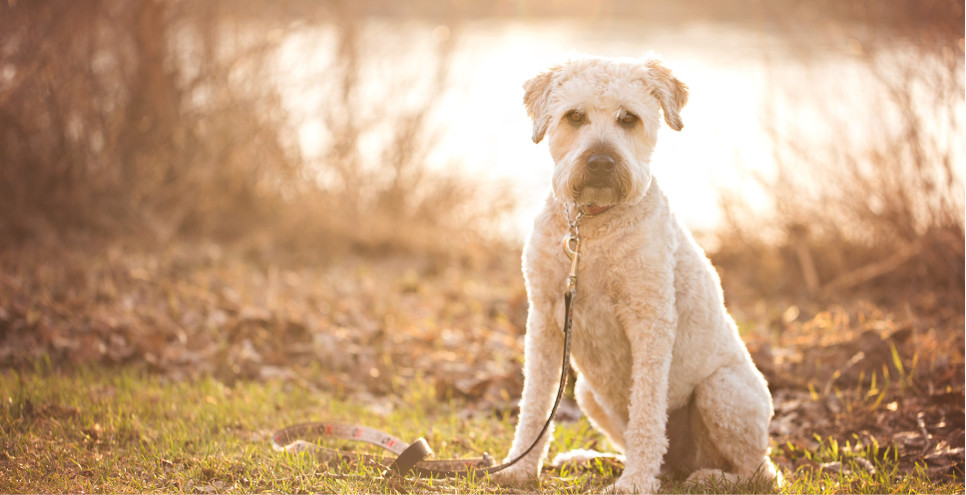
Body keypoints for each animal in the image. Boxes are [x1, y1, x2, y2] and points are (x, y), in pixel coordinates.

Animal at [496, 54, 784, 492]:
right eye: (574, 116)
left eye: (628, 118)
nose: (600, 163)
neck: (591, 224)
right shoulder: (545, 319)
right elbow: (535, 405)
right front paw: (520, 468)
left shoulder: (649, 323)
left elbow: (647, 411)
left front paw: (634, 483)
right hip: (590, 394)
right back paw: (594, 458)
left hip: (722, 390)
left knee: (760, 472)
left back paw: (708, 477)